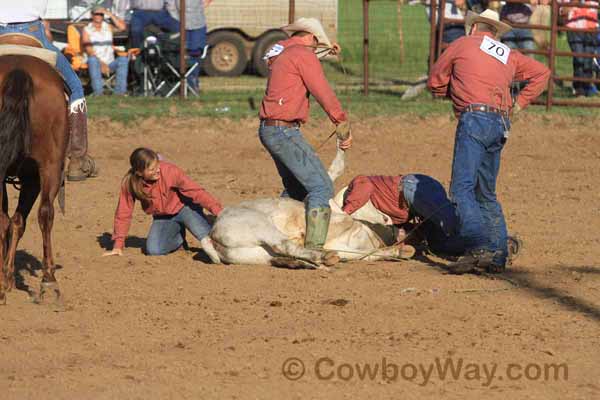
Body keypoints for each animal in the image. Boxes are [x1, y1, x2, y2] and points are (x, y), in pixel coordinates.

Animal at [0, 47, 68, 304]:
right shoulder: (32, 177)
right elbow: (18, 221)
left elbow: (14, 221)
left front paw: (7, 278)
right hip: (50, 165)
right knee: (45, 213)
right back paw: (49, 282)